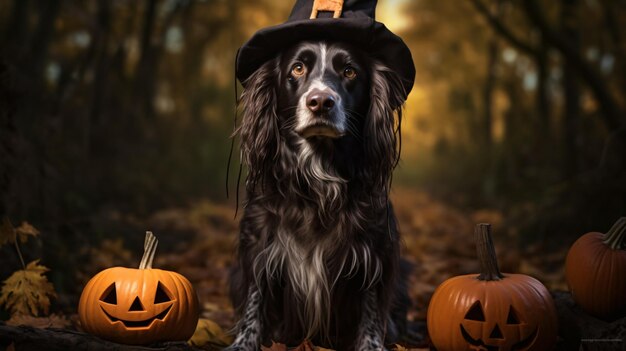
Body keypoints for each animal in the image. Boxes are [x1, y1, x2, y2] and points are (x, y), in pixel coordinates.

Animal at [227, 40, 408, 350]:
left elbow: (371, 306)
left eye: (349, 71)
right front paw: (244, 342)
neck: (319, 174)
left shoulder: (374, 248)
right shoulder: (259, 241)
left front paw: (371, 344)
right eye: (298, 68)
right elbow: (255, 297)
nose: (321, 102)